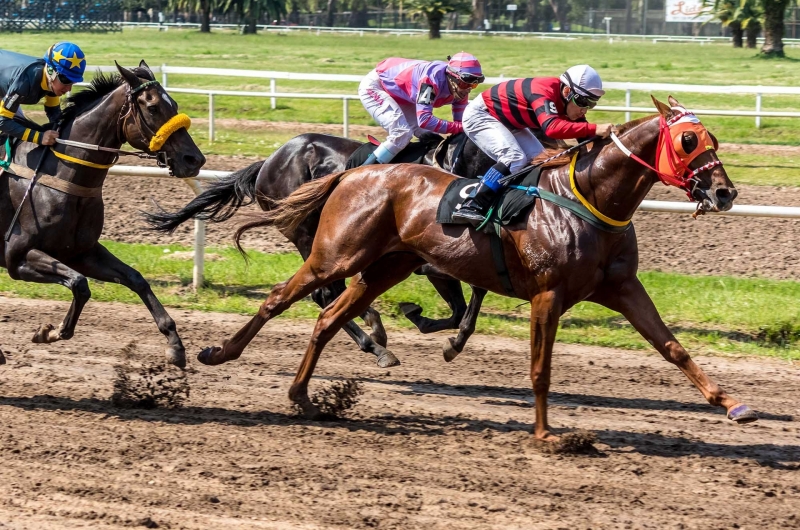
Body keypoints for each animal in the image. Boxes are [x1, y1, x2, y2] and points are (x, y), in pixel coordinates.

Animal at [1, 62, 206, 366]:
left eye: (175, 104)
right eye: (153, 107)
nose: (195, 160)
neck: (63, 177)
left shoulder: (81, 252)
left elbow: (135, 278)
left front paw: (175, 344)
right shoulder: (16, 256)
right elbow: (80, 283)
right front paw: (50, 331)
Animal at [142, 132, 506, 366]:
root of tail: (269, 160)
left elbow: (469, 303)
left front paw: (450, 339)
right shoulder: (431, 260)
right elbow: (462, 301)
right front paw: (420, 320)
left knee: (331, 292)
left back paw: (374, 331)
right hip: (307, 232)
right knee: (324, 293)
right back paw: (375, 345)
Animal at [194, 96, 756, 442]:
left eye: (714, 139)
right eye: (688, 142)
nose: (724, 192)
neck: (588, 197)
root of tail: (354, 173)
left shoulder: (621, 287)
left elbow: (673, 347)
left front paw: (731, 403)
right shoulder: (547, 294)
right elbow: (539, 368)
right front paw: (545, 434)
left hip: (387, 266)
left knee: (329, 317)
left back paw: (308, 393)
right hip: (335, 253)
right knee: (284, 299)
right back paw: (219, 353)